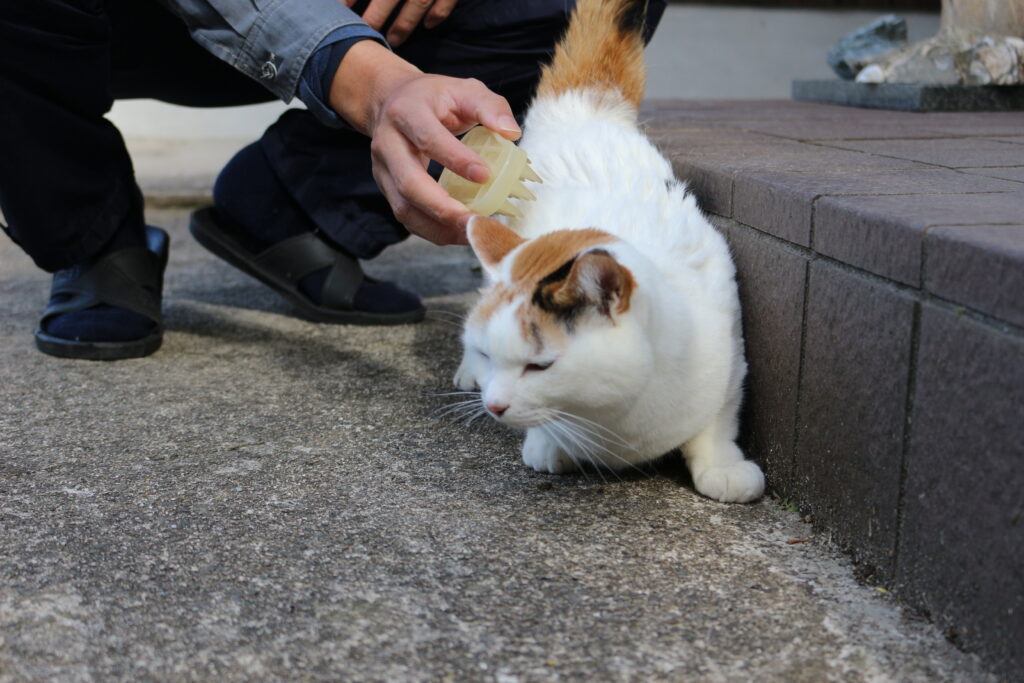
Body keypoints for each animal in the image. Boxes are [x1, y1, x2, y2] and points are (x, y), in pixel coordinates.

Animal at [452, 0, 765, 501]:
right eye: (487, 353)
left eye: (539, 366)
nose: (494, 406)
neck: (613, 425)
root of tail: (583, 106)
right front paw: (547, 445)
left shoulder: (731, 349)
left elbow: (719, 419)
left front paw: (723, 466)